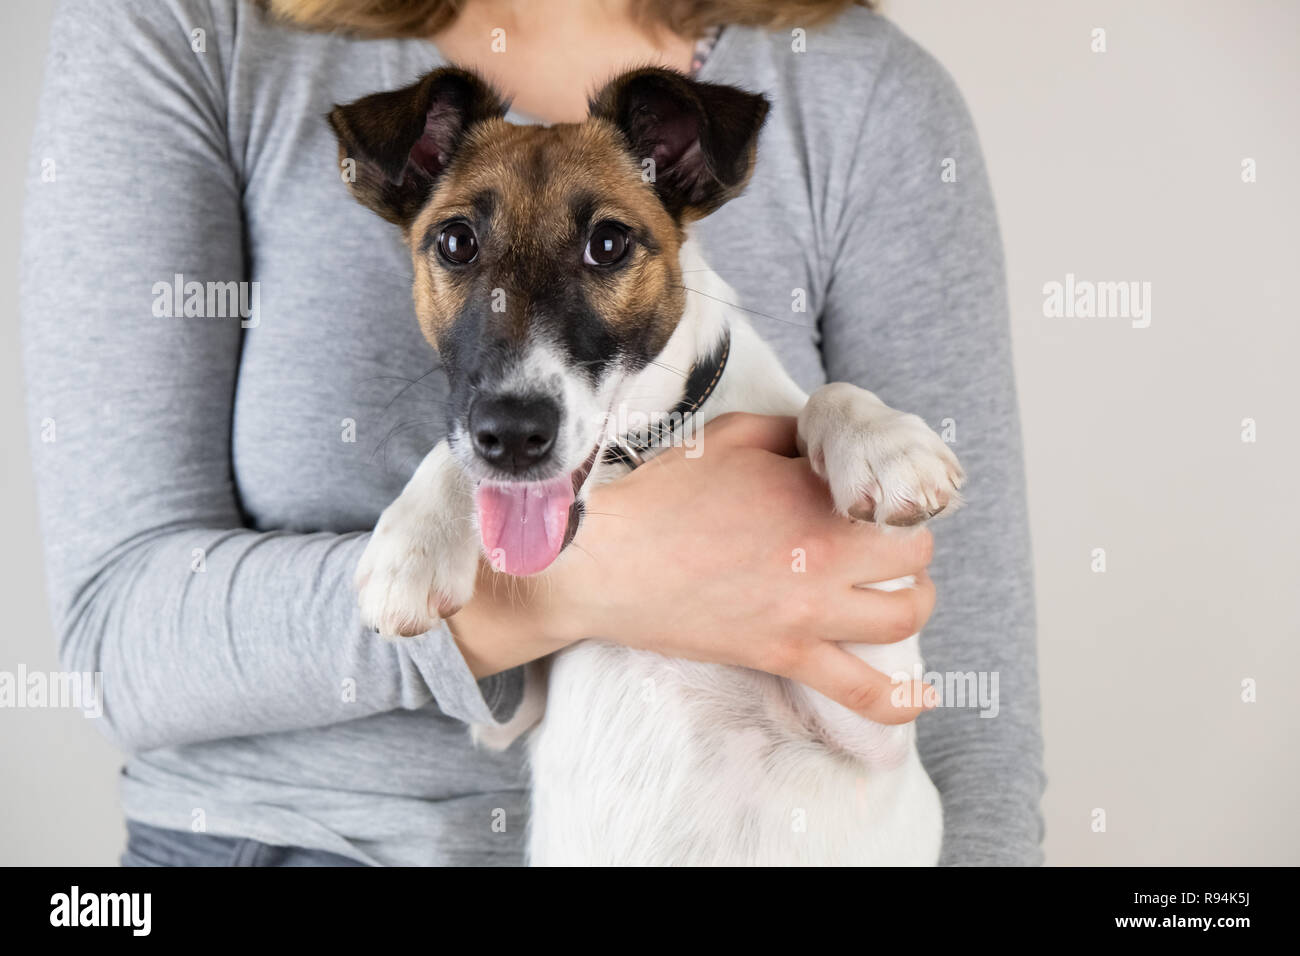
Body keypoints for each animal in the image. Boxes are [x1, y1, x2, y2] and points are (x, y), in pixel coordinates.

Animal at [332, 63, 967, 863]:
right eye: (454, 241)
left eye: (608, 243)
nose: (512, 436)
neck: (649, 449)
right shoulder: (500, 720)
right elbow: (448, 458)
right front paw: (411, 545)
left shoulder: (876, 708)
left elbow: (825, 394)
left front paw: (882, 443)